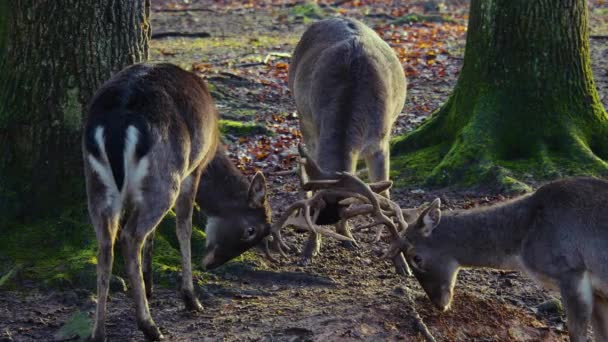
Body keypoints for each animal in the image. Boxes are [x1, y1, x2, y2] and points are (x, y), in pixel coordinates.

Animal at [83, 62, 274, 340]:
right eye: (251, 230)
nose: (211, 264)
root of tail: (117, 123)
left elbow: (152, 236)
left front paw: (148, 285)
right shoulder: (193, 171)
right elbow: (183, 226)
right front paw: (189, 297)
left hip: (97, 184)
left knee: (107, 244)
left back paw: (99, 331)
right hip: (166, 177)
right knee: (130, 236)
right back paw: (150, 326)